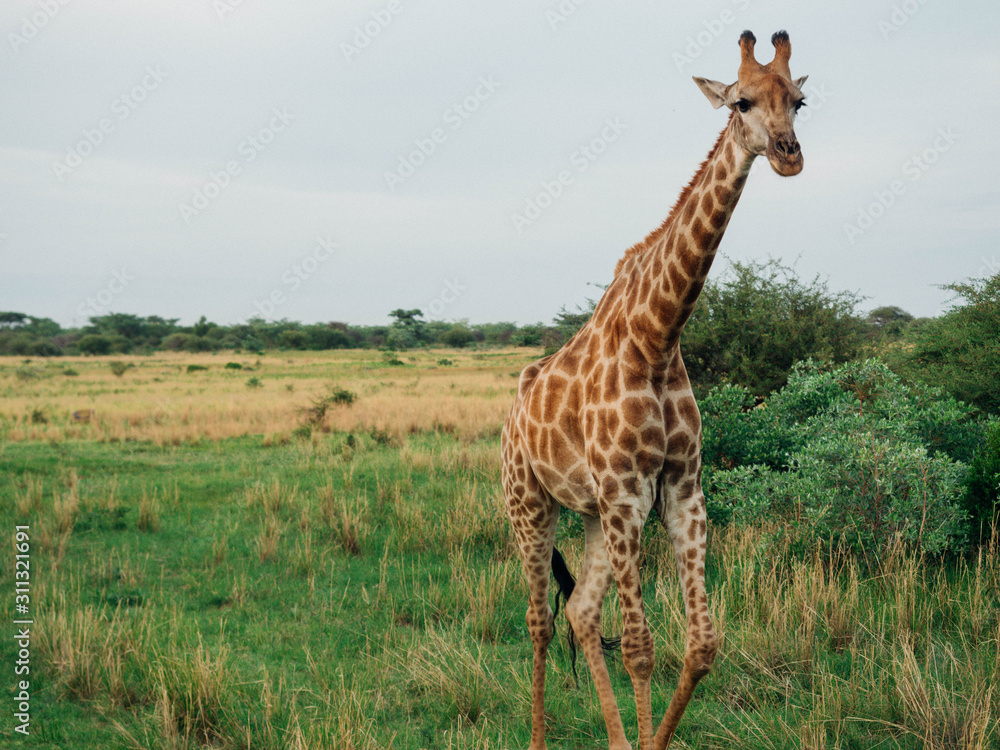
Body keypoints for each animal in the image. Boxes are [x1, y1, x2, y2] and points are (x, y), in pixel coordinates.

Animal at [500, 30, 808, 750]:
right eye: (742, 100)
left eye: (800, 101)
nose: (789, 155)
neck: (658, 336)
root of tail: (513, 410)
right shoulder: (624, 493)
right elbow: (641, 649)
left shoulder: (680, 489)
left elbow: (701, 645)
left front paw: (646, 738)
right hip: (529, 503)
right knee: (540, 621)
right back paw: (539, 735)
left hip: (591, 515)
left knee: (582, 614)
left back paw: (615, 738)